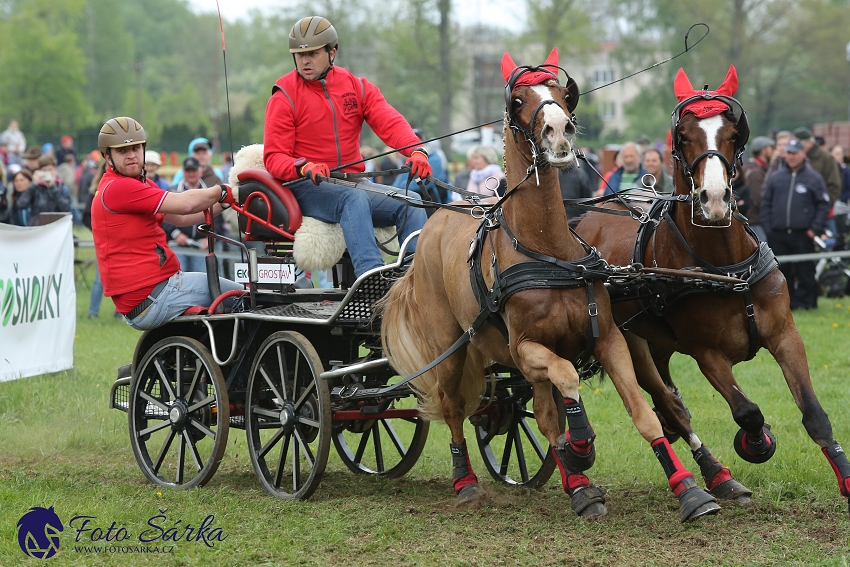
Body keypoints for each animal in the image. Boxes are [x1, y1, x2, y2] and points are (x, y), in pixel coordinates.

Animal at [378, 50, 716, 524]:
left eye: (560, 92)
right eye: (519, 98)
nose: (560, 129)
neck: (547, 253)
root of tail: (436, 218)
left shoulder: (608, 339)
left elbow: (641, 411)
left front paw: (689, 489)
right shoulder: (524, 349)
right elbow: (567, 382)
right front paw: (581, 446)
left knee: (540, 410)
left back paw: (579, 486)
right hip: (449, 347)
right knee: (453, 406)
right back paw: (468, 484)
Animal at [568, 65, 848, 510]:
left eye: (733, 133)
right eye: (683, 135)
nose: (714, 198)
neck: (726, 269)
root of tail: (588, 218)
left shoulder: (786, 334)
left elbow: (814, 414)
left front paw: (845, 476)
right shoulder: (707, 354)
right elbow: (747, 411)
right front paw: (758, 442)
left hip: (660, 343)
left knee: (670, 403)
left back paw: (714, 473)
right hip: (629, 342)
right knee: (669, 406)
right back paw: (712, 476)